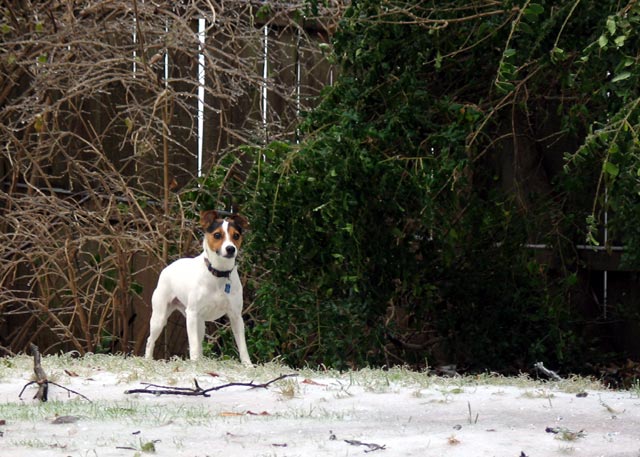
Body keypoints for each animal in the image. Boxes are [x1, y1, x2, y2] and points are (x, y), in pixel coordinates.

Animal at [145, 208, 252, 366]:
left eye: (236, 236)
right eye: (217, 235)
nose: (230, 249)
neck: (218, 273)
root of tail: (168, 267)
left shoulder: (236, 316)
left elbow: (243, 346)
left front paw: (248, 365)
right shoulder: (192, 314)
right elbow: (193, 344)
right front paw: (194, 363)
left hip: (200, 323)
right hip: (160, 318)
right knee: (150, 340)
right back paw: (147, 359)